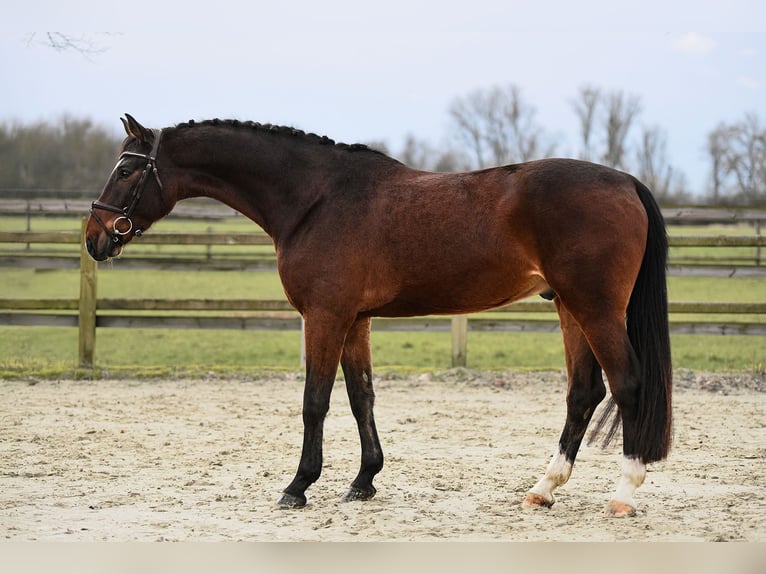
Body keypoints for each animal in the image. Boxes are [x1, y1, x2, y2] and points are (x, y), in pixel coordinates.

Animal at [85, 115, 672, 520]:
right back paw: (543, 489)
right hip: (570, 308)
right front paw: (364, 481)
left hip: (595, 308)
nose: (95, 237)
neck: (316, 200)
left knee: (627, 383)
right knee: (583, 393)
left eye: (128, 169)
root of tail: (626, 181)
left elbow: (315, 401)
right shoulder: (356, 320)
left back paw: (624, 493)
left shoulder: (324, 316)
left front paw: (298, 486)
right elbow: (360, 395)